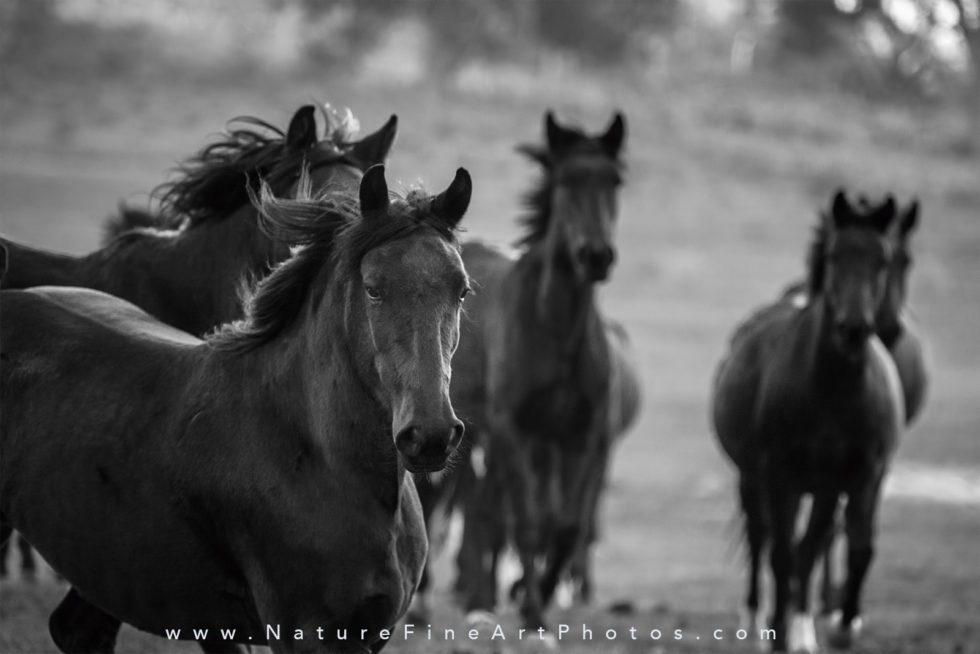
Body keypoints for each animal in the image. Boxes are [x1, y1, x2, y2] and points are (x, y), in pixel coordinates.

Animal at [708, 192, 908, 652]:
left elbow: (842, 548)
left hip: (817, 488)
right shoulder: (781, 474)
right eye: (835, 255)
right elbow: (782, 555)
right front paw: (779, 635)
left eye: (884, 260)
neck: (832, 394)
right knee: (760, 538)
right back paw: (755, 619)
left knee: (808, 547)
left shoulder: (851, 477)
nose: (855, 327)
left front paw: (829, 628)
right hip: (754, 477)